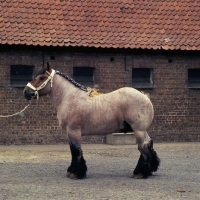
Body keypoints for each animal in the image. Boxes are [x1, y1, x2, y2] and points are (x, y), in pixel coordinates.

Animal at [23, 63, 160, 180]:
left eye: (41, 78)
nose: (26, 92)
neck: (69, 97)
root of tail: (144, 96)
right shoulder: (69, 133)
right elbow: (73, 150)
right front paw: (72, 171)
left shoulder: (74, 131)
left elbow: (76, 151)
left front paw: (76, 173)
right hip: (142, 130)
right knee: (149, 144)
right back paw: (150, 169)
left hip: (139, 130)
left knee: (143, 147)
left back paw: (140, 173)